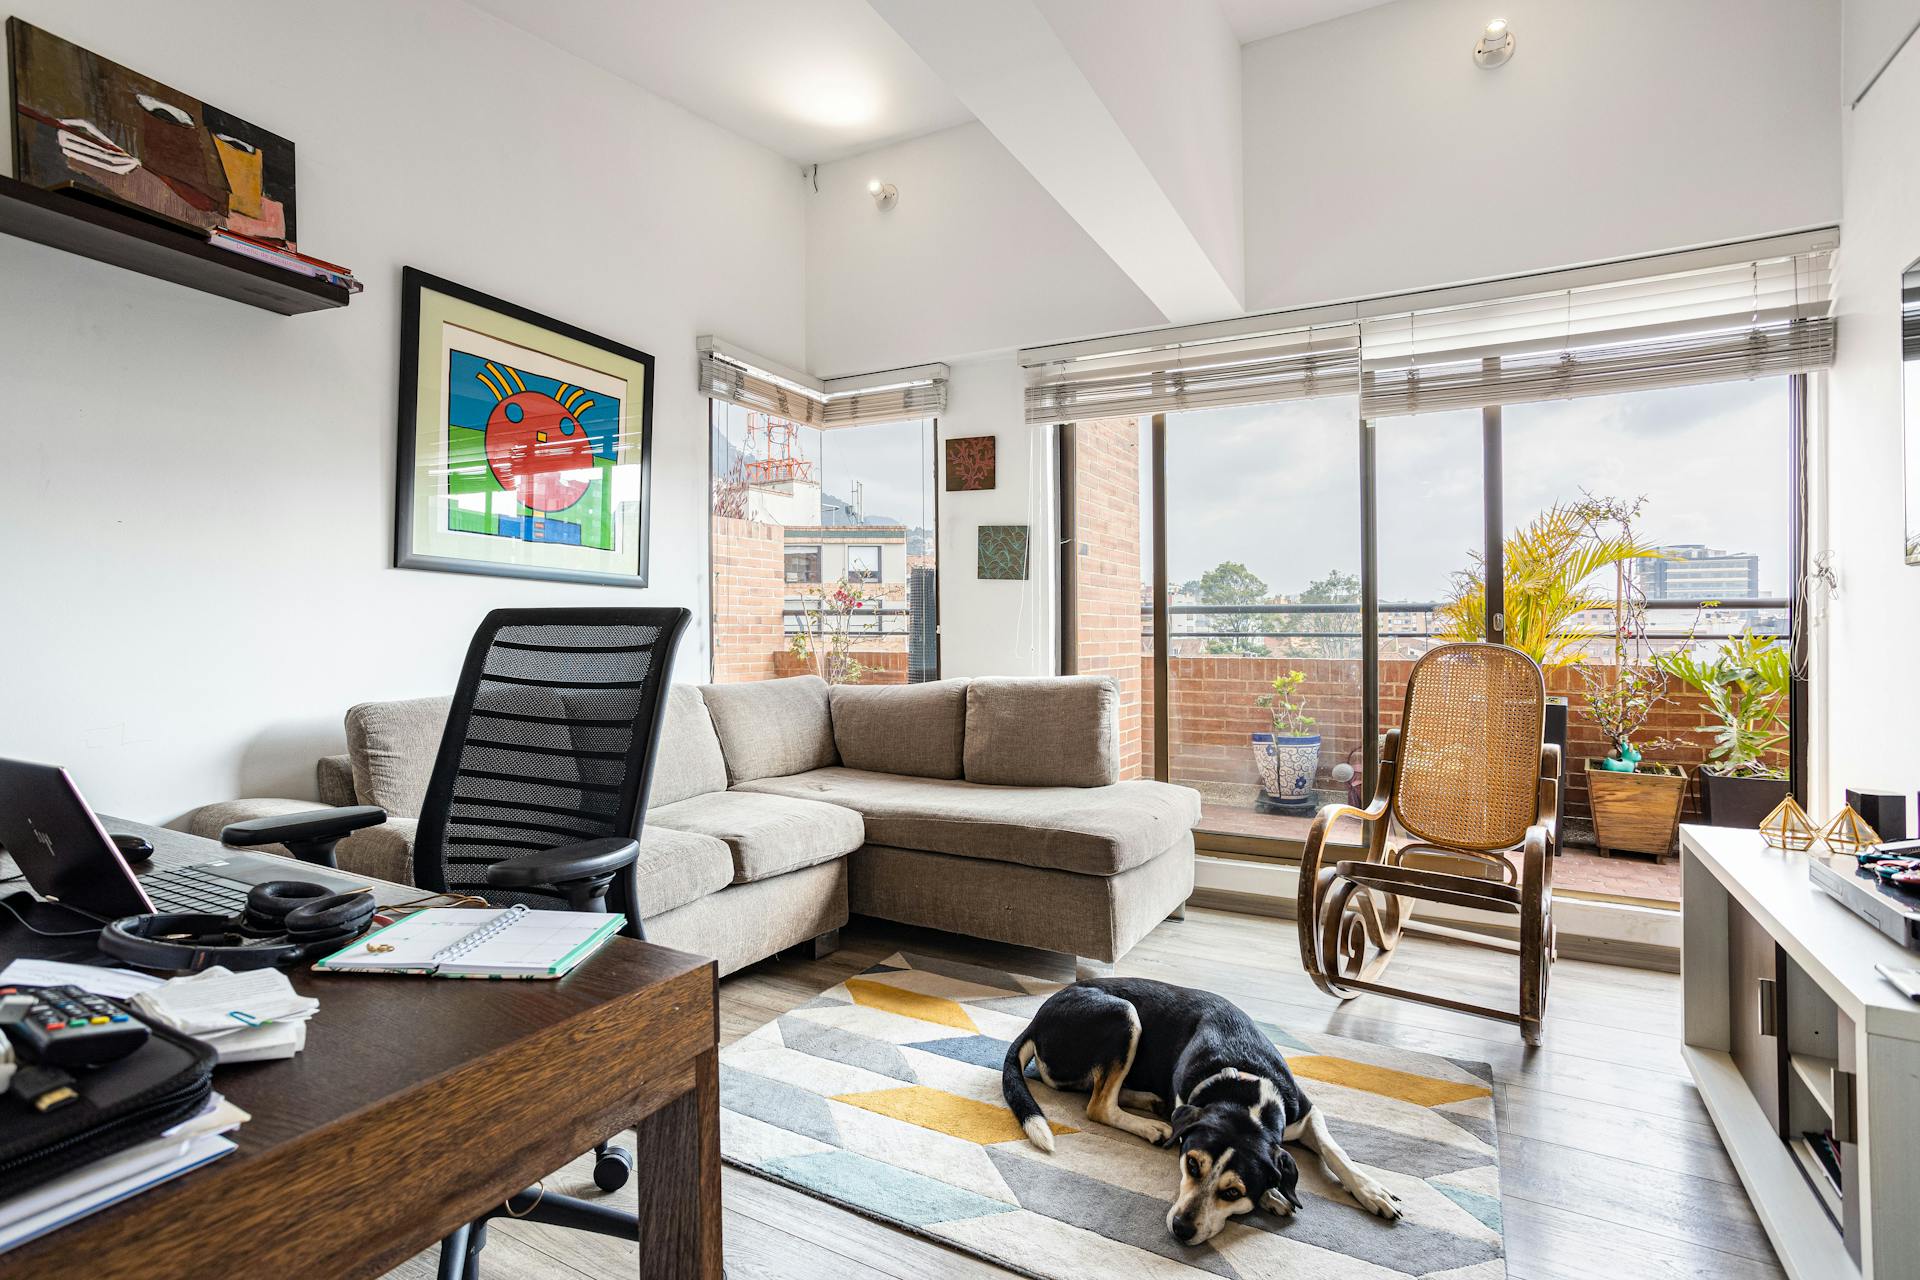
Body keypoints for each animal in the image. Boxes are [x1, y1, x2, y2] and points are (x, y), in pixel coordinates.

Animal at [1006, 982, 1397, 1243]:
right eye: (1191, 1165)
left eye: (1233, 1193)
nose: (1181, 1228)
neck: (1243, 1090)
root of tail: (1037, 1019)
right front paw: (1272, 1194)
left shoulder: (1306, 1112)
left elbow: (1335, 1152)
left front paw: (1372, 1192)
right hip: (1123, 1014)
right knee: (1098, 1104)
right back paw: (1152, 1126)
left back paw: (1149, 1101)